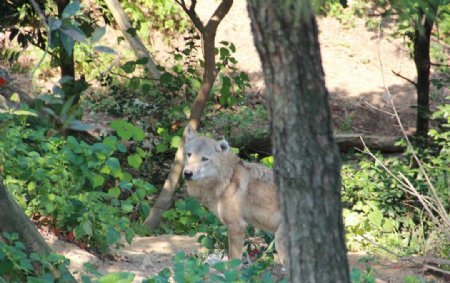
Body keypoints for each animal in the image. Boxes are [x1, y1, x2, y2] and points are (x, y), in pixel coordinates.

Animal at [182, 127, 284, 268]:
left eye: (204, 159)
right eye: (189, 155)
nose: (187, 173)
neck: (227, 179)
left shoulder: (236, 226)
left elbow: (234, 263)